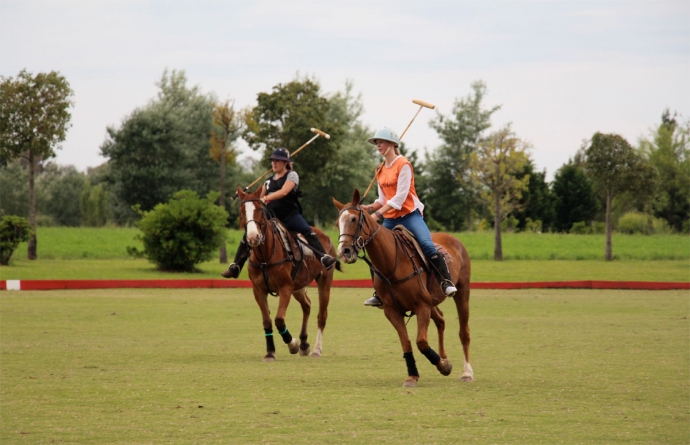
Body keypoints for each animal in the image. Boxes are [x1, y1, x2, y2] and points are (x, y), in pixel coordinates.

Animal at [235, 186, 338, 360]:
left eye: (260, 209)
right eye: (242, 211)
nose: (253, 237)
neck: (265, 257)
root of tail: (325, 236)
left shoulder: (285, 288)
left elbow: (279, 319)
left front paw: (292, 344)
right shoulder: (258, 290)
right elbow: (267, 321)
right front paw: (270, 352)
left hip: (324, 280)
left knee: (322, 315)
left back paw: (316, 350)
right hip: (298, 285)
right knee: (307, 305)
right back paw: (304, 343)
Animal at [330, 187, 470, 386]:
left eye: (354, 219)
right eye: (337, 223)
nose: (344, 252)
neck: (392, 265)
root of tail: (453, 238)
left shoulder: (422, 306)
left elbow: (421, 342)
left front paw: (442, 366)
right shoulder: (392, 310)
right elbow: (406, 343)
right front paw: (414, 375)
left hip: (462, 291)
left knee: (464, 331)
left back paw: (467, 373)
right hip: (432, 300)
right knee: (441, 320)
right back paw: (444, 357)